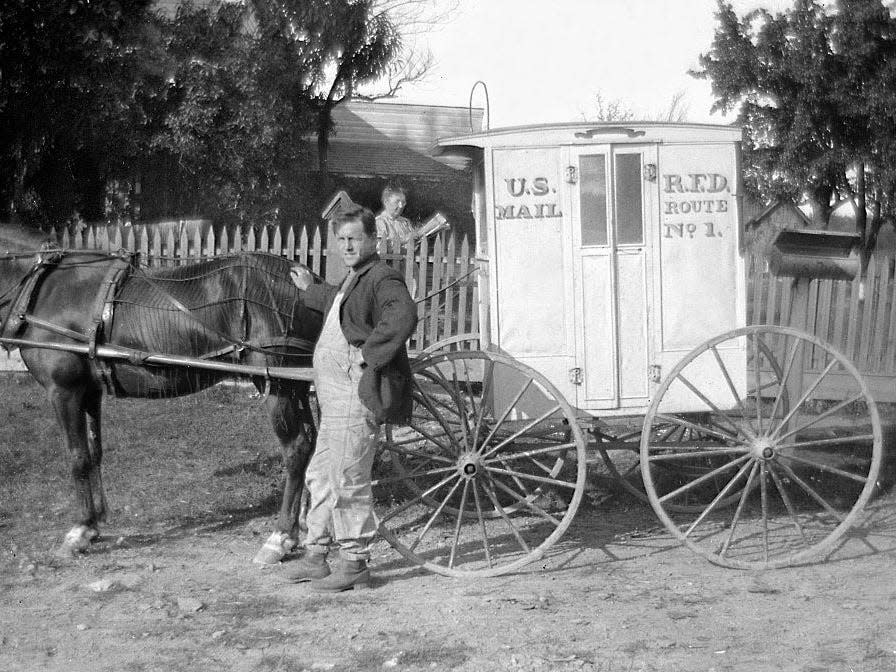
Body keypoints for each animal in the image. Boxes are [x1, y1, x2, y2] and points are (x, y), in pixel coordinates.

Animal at [0, 224, 322, 560]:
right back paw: (304, 519)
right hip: (297, 386)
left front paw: (79, 529)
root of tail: (308, 280)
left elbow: (77, 458)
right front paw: (95, 522)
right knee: (312, 442)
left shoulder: (63, 391)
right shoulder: (89, 390)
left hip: (278, 385)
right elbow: (93, 452)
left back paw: (281, 535)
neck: (46, 287)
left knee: (296, 448)